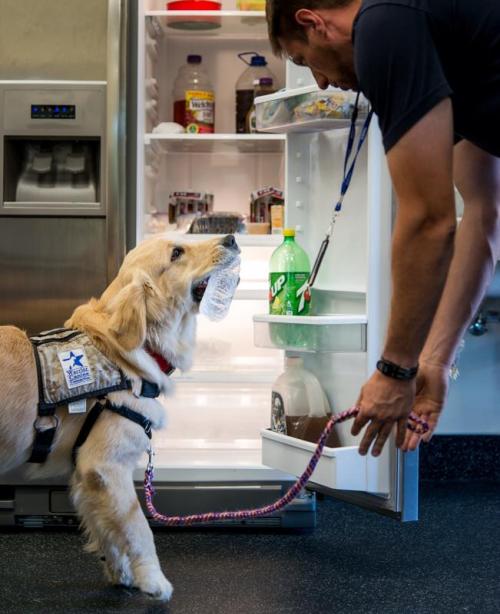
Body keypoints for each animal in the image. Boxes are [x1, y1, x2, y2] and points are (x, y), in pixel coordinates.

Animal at [0, 235, 240, 600]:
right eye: (176, 253)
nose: (231, 238)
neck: (125, 358)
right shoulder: (106, 466)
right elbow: (139, 528)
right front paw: (154, 580)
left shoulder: (87, 476)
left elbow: (108, 532)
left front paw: (121, 573)